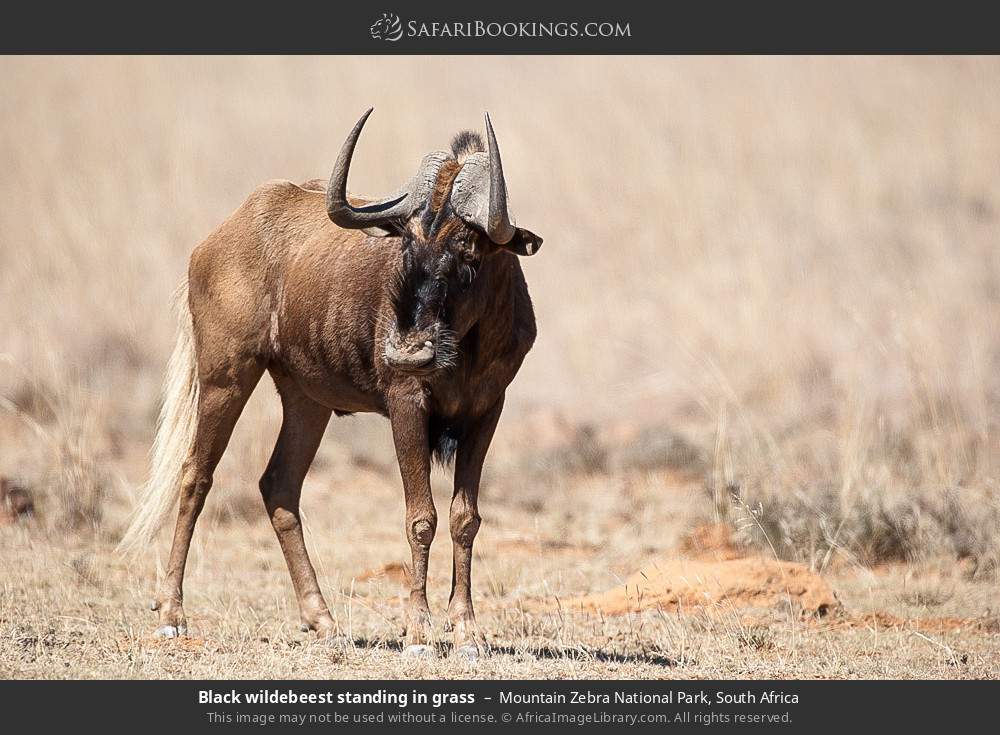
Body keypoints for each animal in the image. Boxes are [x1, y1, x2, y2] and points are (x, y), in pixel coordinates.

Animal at [119, 110, 542, 659]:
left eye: (467, 243)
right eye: (407, 239)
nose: (408, 352)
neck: (467, 349)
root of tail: (214, 241)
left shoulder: (487, 410)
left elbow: (464, 518)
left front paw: (467, 631)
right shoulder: (407, 404)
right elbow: (421, 517)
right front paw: (418, 634)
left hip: (306, 401)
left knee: (278, 486)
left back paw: (322, 620)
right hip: (225, 376)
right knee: (196, 475)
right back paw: (172, 616)